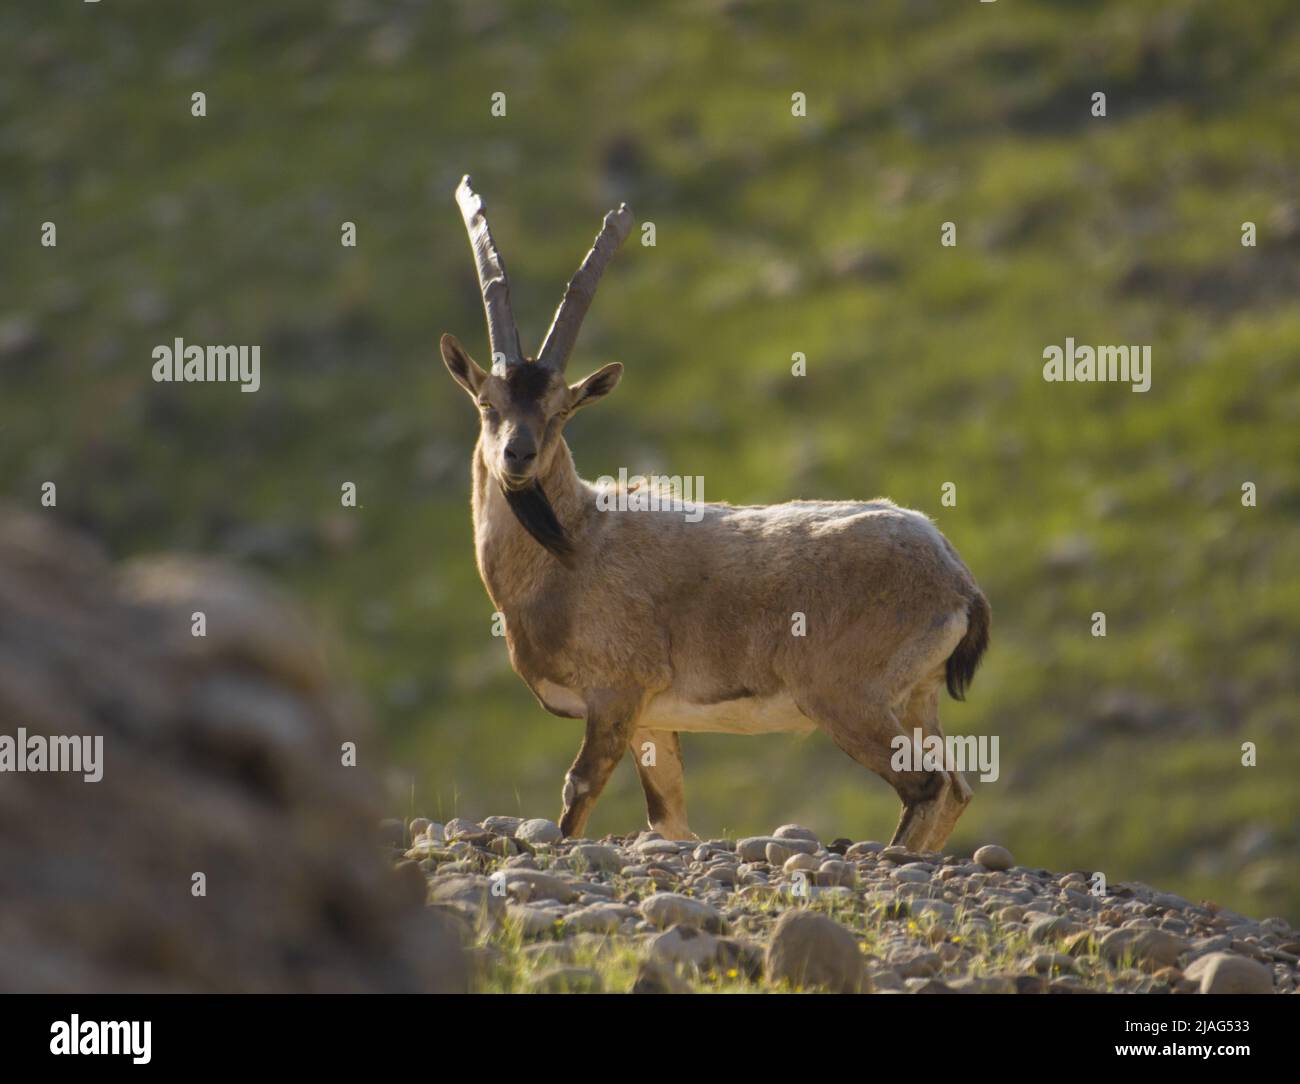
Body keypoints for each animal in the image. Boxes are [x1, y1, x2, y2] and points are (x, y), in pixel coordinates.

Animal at [441, 176, 987, 847]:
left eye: (562, 409)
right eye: (487, 403)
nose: (518, 455)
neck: (572, 544)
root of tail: (956, 578)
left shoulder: (616, 692)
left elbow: (577, 795)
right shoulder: (652, 719)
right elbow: (669, 820)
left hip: (847, 697)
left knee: (927, 787)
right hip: (916, 700)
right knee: (956, 787)